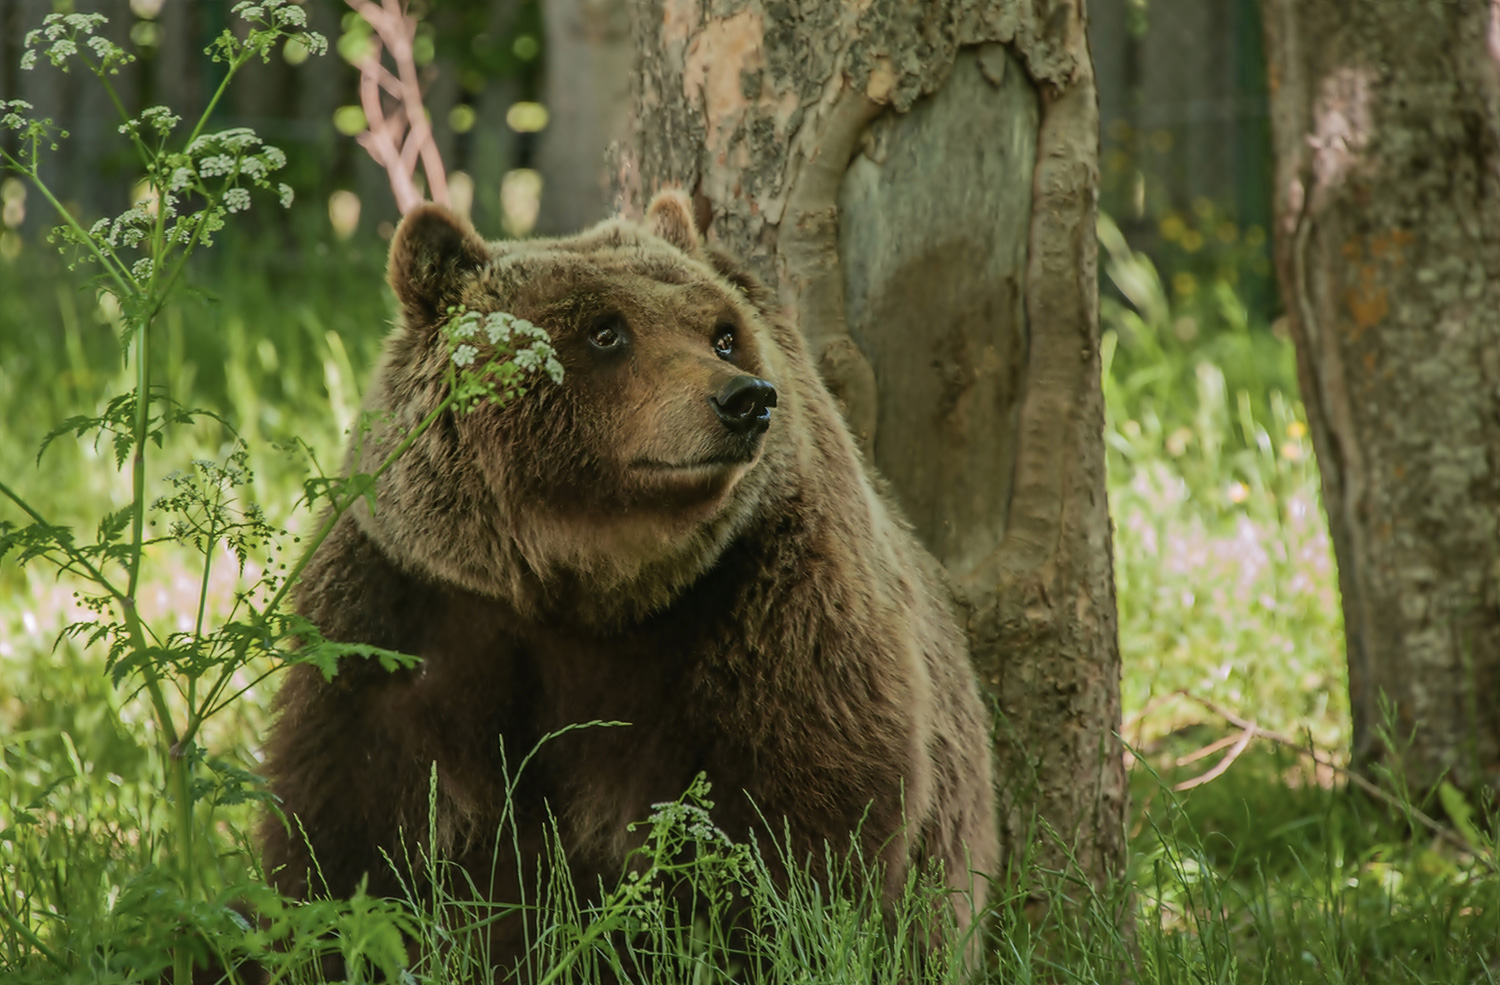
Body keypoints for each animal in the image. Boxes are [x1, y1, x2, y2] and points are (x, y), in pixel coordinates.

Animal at [258, 191, 999, 978]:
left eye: (722, 335)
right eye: (606, 330)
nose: (745, 399)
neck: (582, 584)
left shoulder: (765, 604)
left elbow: (795, 832)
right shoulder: (412, 610)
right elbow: (347, 832)